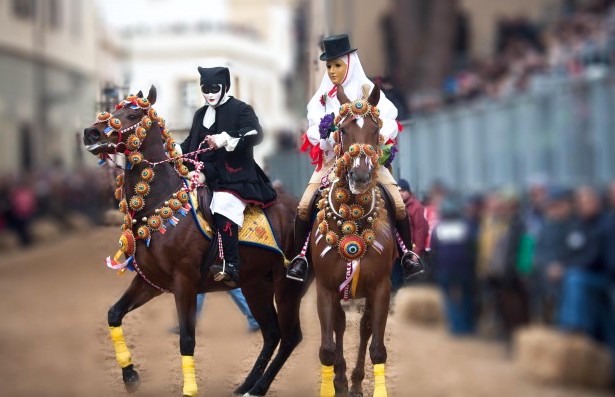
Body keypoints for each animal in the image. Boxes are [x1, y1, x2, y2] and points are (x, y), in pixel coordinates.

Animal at [83, 86, 308, 396]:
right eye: (115, 109)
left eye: (132, 114)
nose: (91, 133)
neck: (160, 202)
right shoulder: (150, 281)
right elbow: (114, 314)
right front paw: (130, 375)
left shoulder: (184, 282)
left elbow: (187, 339)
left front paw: (189, 389)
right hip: (256, 285)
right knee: (272, 334)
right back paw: (247, 384)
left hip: (287, 286)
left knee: (289, 337)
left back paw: (258, 387)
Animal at [310, 84, 398, 396]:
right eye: (343, 129)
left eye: (376, 129)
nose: (360, 175)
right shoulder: (325, 288)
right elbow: (327, 348)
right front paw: (334, 383)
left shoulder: (381, 287)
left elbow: (377, 348)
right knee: (340, 326)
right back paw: (341, 380)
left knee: (363, 328)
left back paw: (356, 382)